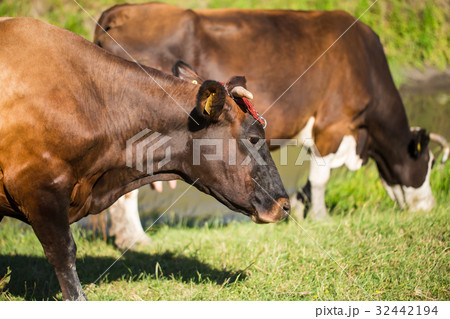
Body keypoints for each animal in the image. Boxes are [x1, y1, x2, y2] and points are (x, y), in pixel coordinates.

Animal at [93, 3, 448, 220]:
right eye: (428, 165)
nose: (430, 206)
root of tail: (121, 10)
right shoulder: (332, 125)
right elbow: (320, 177)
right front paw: (321, 217)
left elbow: (309, 182)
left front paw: (303, 210)